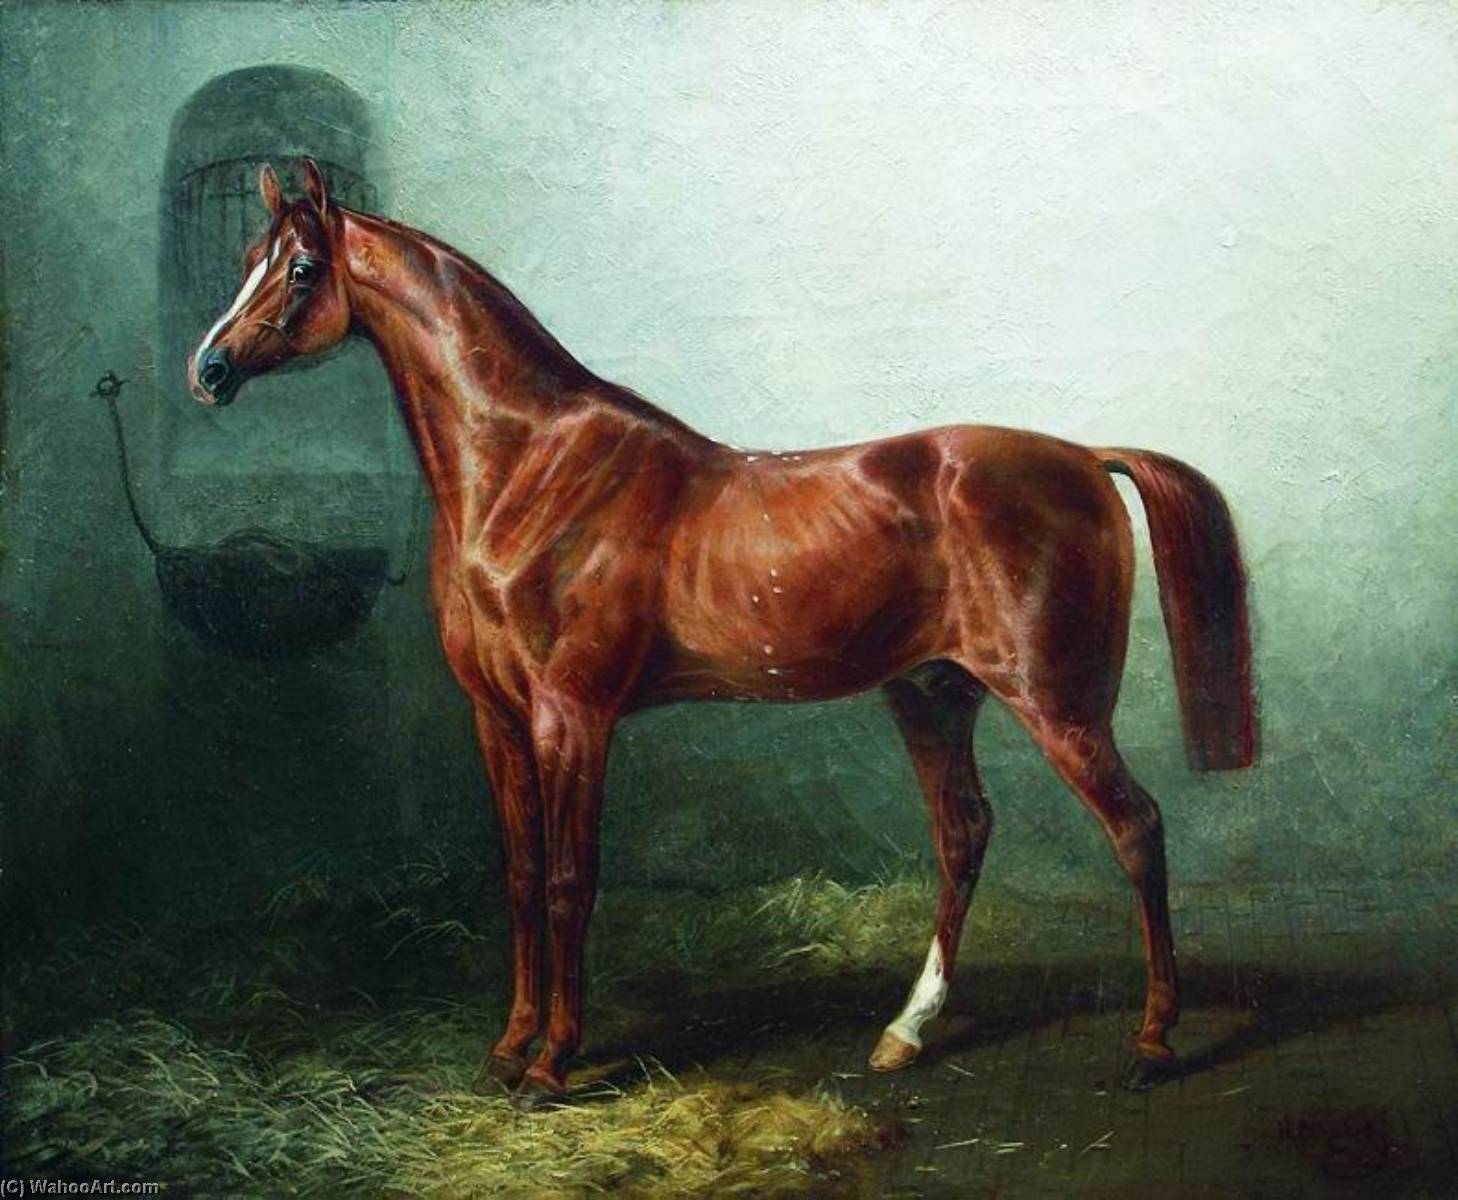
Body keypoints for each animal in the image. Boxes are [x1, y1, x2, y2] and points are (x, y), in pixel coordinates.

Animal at [188, 159, 1256, 1108]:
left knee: (1136, 828)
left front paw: (551, 1065)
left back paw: (1153, 1042)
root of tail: (1084, 456)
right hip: (933, 694)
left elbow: (571, 880)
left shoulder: (574, 717)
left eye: (299, 268)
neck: (528, 467)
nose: (208, 369)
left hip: (1057, 704)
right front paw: (507, 1048)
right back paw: (905, 1033)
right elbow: (522, 877)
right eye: (244, 254)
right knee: (963, 834)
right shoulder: (495, 718)